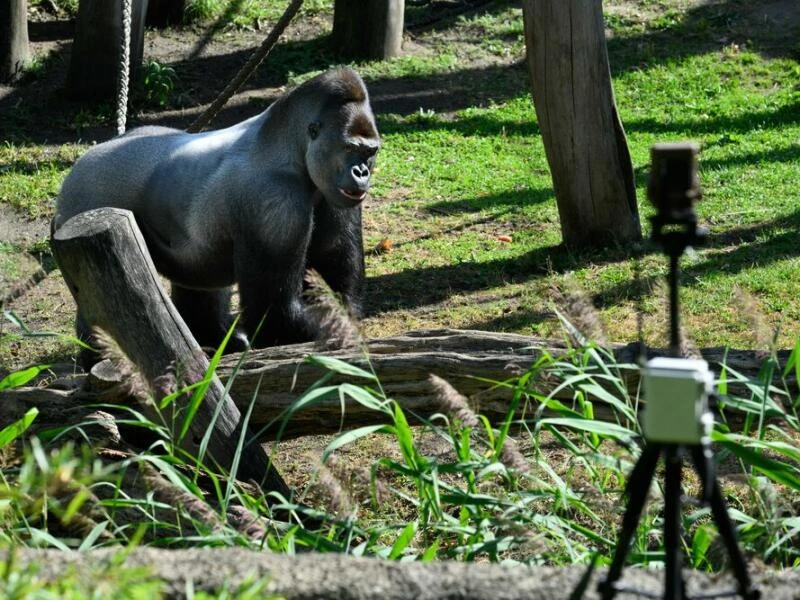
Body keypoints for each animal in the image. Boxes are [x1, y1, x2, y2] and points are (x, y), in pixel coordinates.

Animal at [55, 65, 382, 356]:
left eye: (370, 151)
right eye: (349, 148)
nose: (362, 172)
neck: (290, 145)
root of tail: (82, 162)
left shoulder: (333, 192)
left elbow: (335, 278)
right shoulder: (274, 203)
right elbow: (276, 315)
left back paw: (209, 336)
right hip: (85, 205)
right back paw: (100, 357)